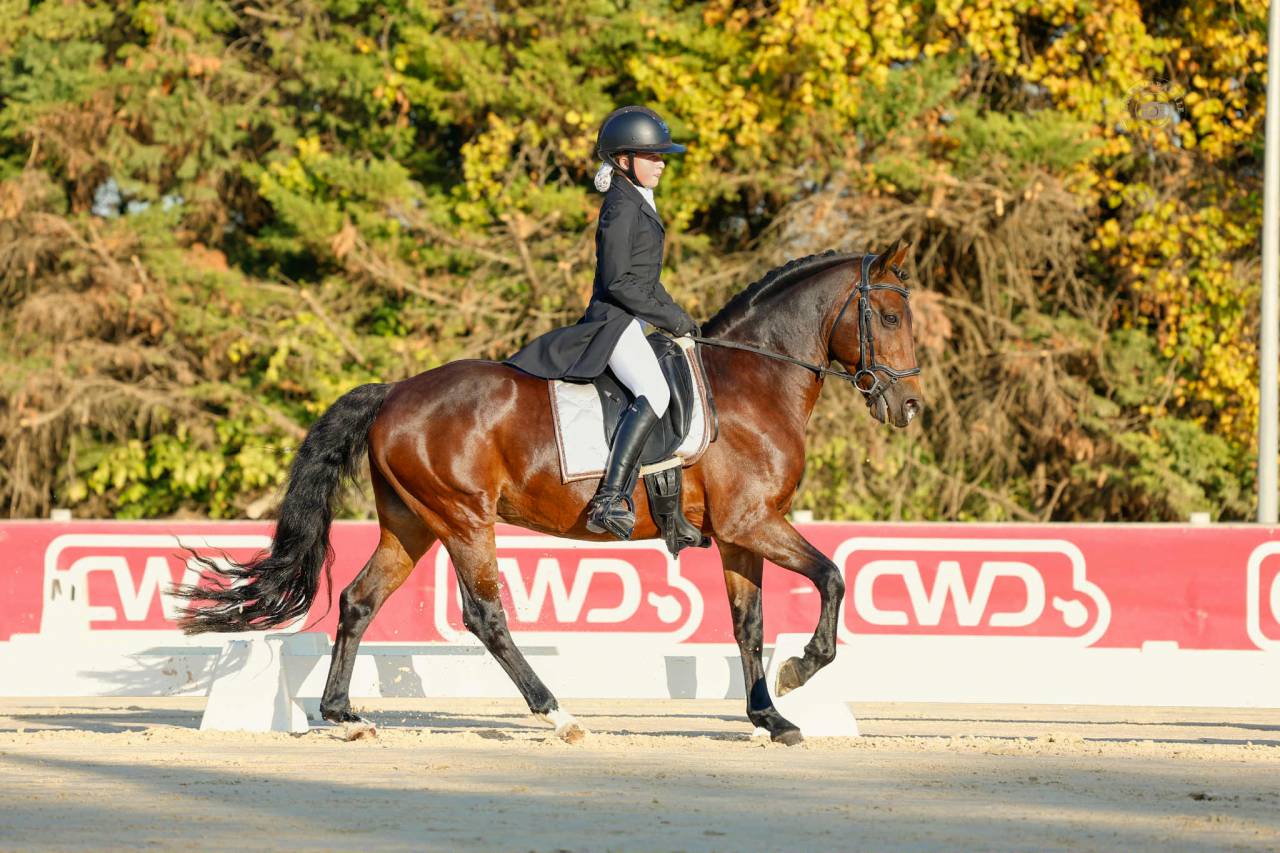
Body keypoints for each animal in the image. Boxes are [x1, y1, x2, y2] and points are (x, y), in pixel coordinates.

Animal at [177, 241, 924, 745]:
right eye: (888, 317)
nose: (909, 407)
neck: (756, 379)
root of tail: (394, 393)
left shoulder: (742, 531)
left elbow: (749, 624)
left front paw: (771, 716)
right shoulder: (754, 522)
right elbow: (832, 576)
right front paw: (801, 672)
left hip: (411, 524)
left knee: (359, 600)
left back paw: (343, 716)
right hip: (464, 519)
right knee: (486, 616)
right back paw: (558, 713)